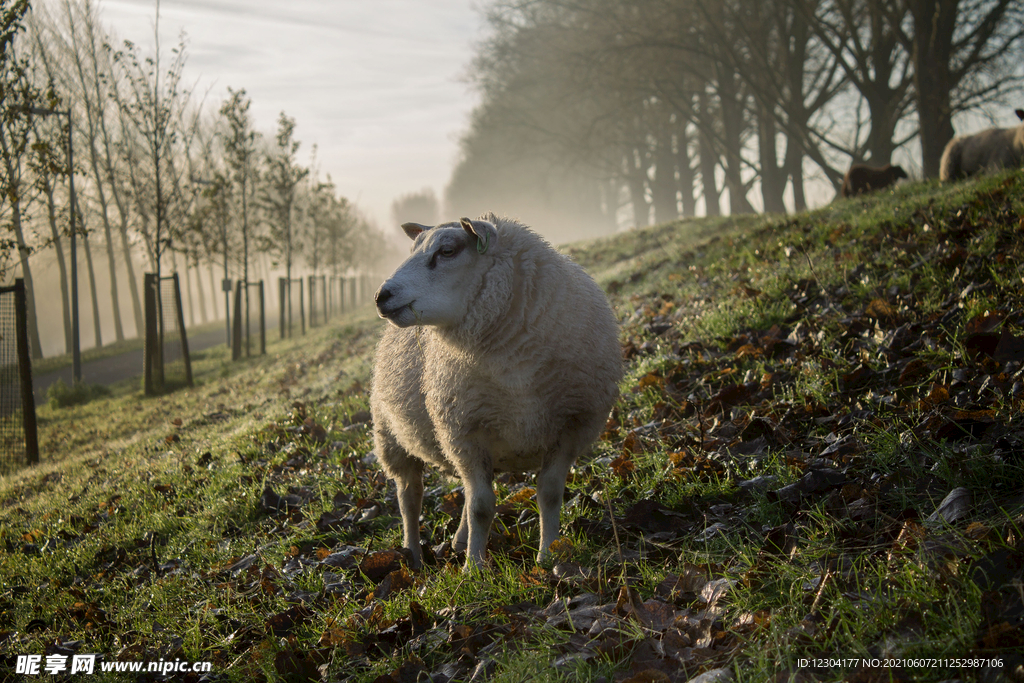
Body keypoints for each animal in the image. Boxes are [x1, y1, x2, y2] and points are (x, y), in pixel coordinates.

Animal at [372, 216, 618, 569]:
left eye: (447, 251)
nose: (381, 295)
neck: (516, 370)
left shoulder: (571, 427)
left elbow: (549, 493)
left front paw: (548, 555)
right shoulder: (464, 433)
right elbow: (481, 506)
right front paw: (474, 568)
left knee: (460, 491)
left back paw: (459, 542)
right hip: (391, 437)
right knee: (409, 496)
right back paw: (414, 555)